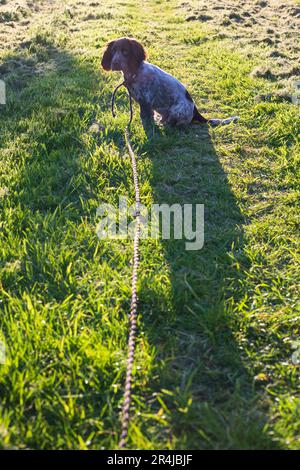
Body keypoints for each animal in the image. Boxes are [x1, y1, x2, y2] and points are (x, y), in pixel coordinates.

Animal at [102, 37, 238, 129]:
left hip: (177, 111)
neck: (135, 72)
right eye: (113, 51)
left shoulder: (145, 101)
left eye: (125, 51)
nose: (115, 63)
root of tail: (195, 111)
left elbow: (145, 118)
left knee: (176, 124)